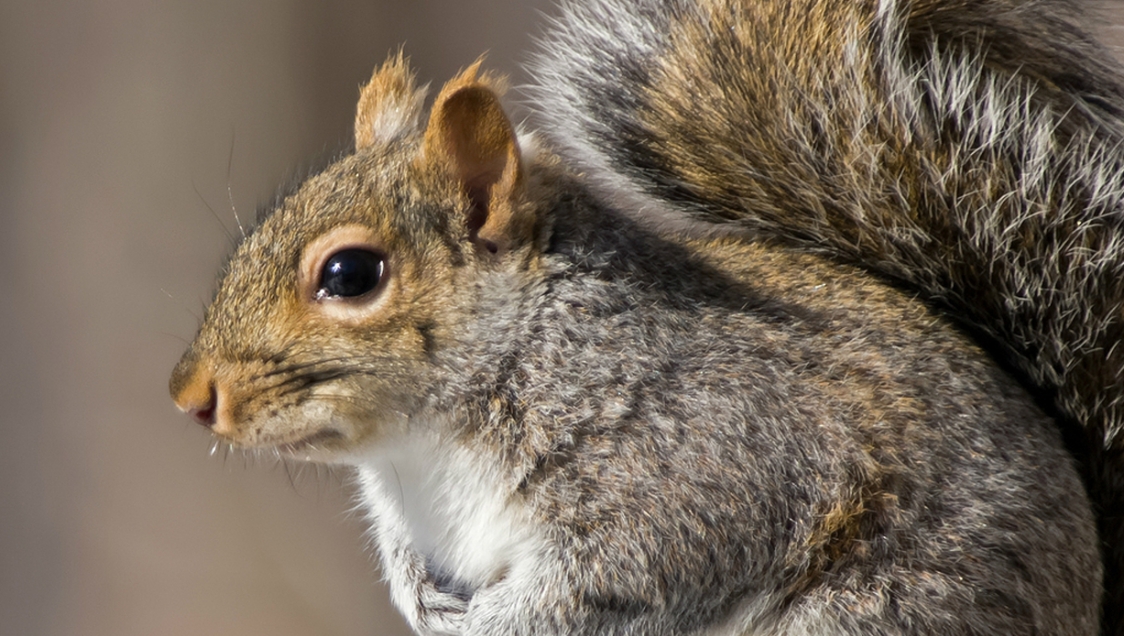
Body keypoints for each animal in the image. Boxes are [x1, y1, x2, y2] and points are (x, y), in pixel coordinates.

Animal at [166, 0, 1124, 633]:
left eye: (350, 273)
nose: (191, 397)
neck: (425, 446)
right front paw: (420, 599)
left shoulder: (700, 465)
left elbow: (615, 579)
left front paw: (490, 622)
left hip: (875, 615)